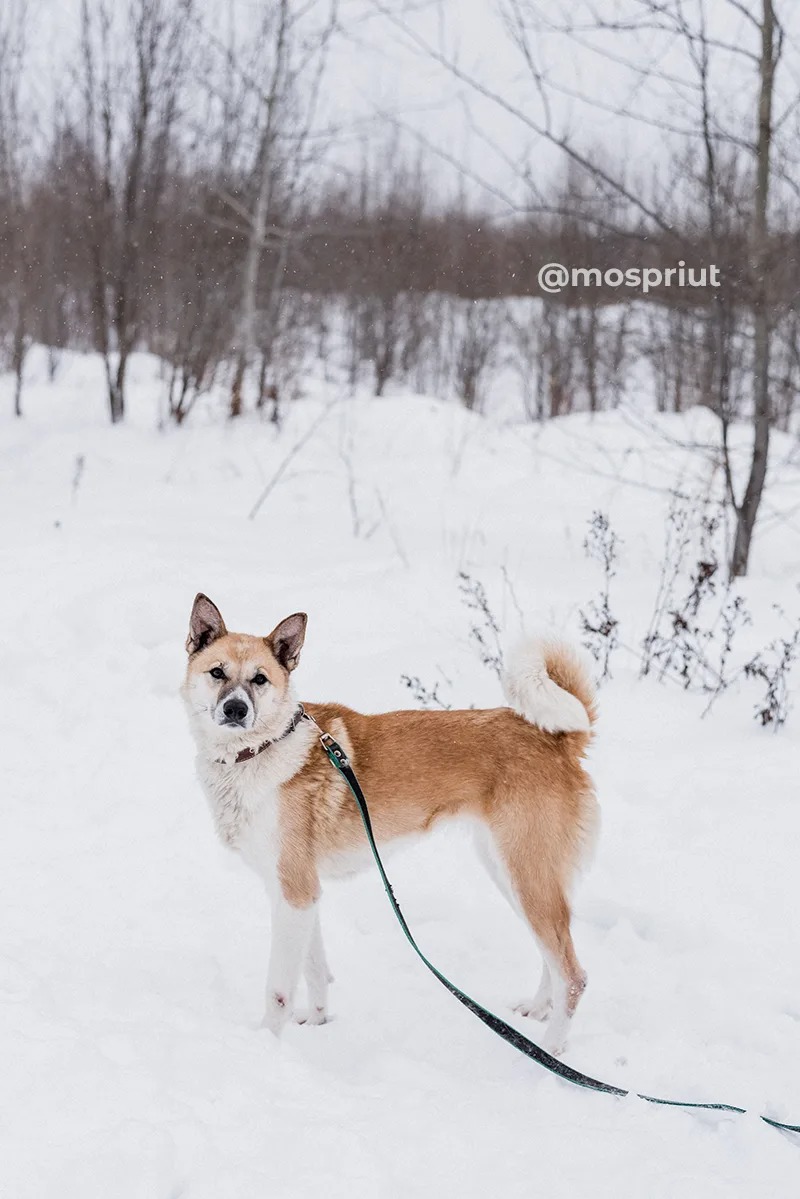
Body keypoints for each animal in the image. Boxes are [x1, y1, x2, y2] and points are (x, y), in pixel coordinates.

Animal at [183, 594, 599, 1055]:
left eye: (259, 679)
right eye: (217, 672)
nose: (235, 709)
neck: (260, 750)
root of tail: (558, 740)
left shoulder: (294, 892)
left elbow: (278, 990)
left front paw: (265, 1045)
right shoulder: (298, 894)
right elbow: (314, 968)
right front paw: (319, 1020)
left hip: (526, 875)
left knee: (574, 976)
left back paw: (551, 1049)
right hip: (512, 873)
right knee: (552, 958)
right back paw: (538, 1012)